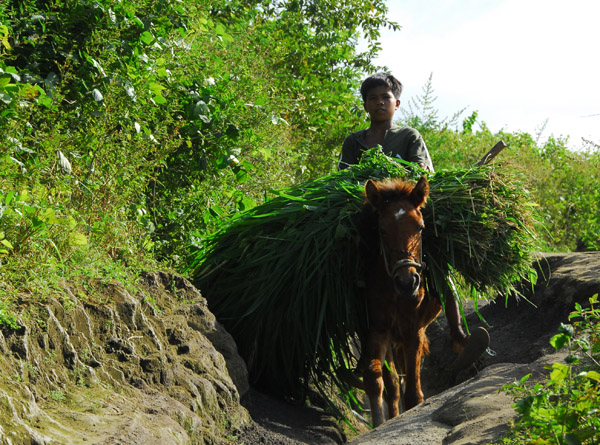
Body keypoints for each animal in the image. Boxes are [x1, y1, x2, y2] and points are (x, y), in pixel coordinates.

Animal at [358, 175, 442, 424]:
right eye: (382, 230)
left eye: (420, 227)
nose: (407, 282)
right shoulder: (375, 330)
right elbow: (377, 382)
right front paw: (379, 423)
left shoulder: (413, 330)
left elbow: (413, 394)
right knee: (393, 385)